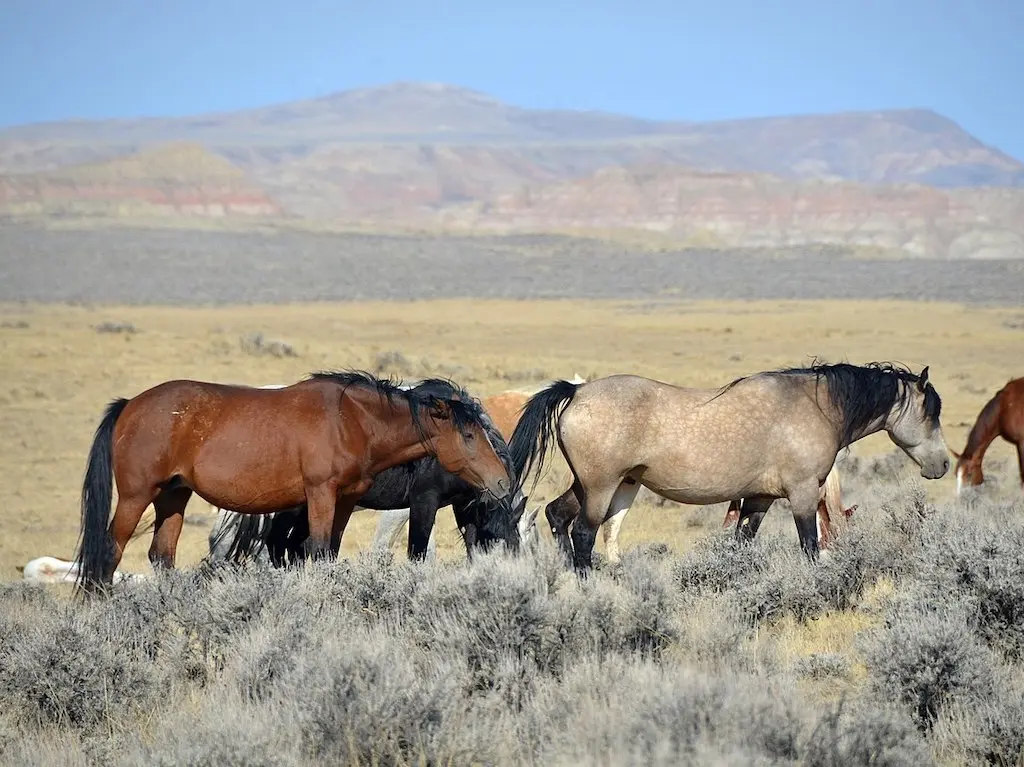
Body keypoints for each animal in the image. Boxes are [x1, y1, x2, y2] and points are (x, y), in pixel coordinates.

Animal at [74, 368, 512, 589]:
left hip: (173, 496)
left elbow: (328, 552)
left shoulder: (345, 500)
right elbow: (315, 551)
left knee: (161, 556)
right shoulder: (319, 495)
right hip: (137, 496)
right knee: (109, 551)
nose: (503, 483)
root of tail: (130, 404)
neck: (350, 421)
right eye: (468, 434)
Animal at [512, 362, 950, 573]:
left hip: (593, 485)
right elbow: (811, 545)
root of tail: (577, 391)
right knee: (584, 533)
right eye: (931, 411)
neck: (815, 406)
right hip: (602, 487)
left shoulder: (759, 499)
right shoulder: (803, 494)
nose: (944, 464)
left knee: (558, 515)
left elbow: (742, 543)